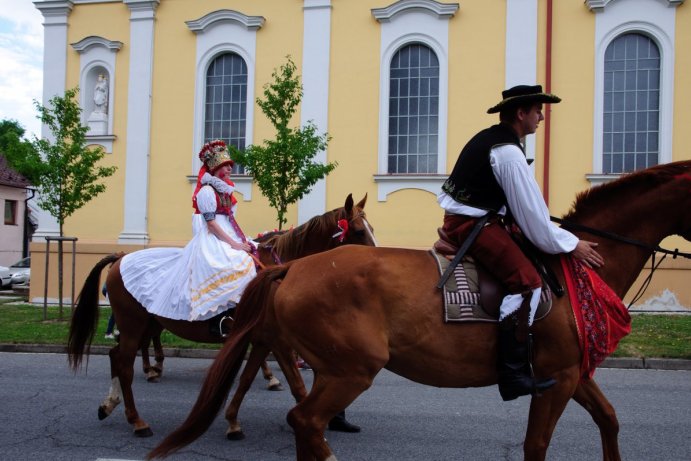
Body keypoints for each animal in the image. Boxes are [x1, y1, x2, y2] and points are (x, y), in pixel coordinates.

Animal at [67, 193, 376, 434]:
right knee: (125, 365)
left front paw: (234, 420)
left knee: (116, 356)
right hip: (133, 325)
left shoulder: (263, 338)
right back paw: (137, 420)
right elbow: (297, 385)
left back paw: (111, 403)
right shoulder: (278, 341)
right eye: (359, 231)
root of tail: (120, 258)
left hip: (143, 325)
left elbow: (249, 377)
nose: (377, 260)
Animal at [150, 160, 691, 458]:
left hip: (331, 364)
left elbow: (610, 421)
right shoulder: (557, 379)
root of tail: (292, 269)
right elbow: (536, 445)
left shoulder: (572, 374)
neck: (567, 268)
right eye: (356, 228)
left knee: (300, 414)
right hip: (352, 368)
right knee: (303, 418)